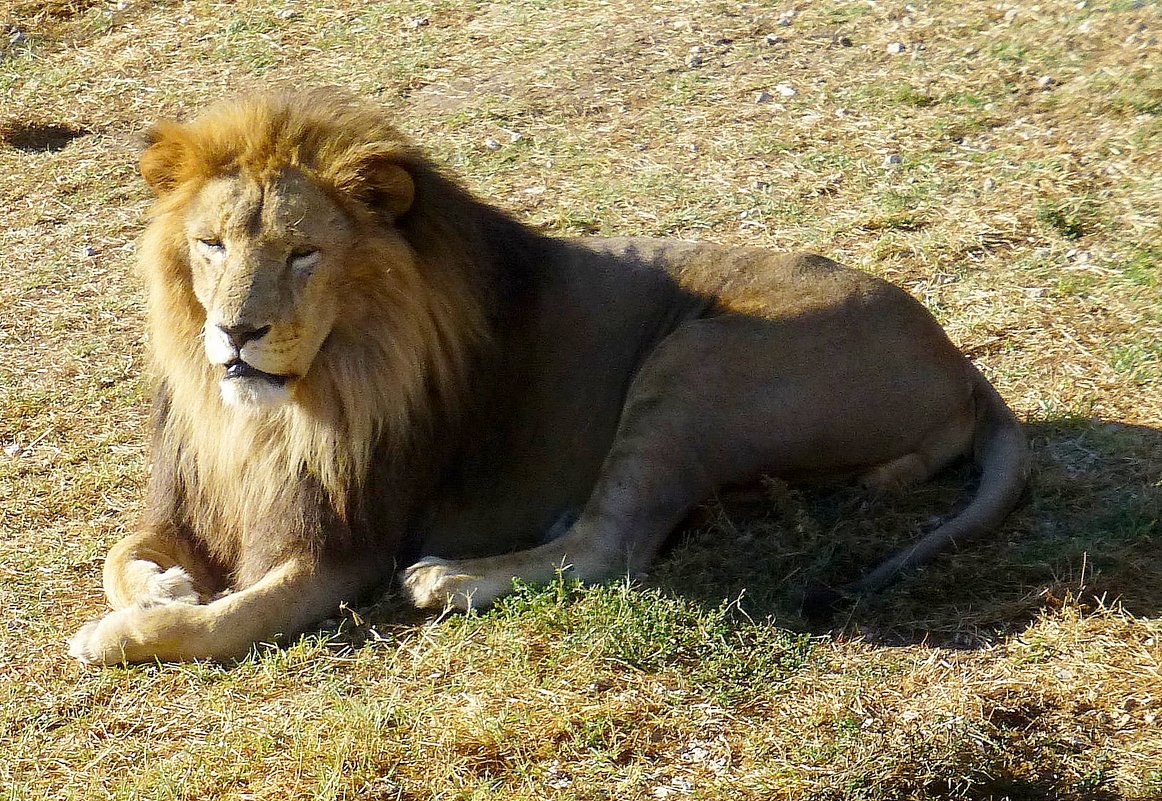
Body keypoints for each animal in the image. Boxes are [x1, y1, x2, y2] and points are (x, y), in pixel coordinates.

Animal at [65, 88, 1027, 660]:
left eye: (303, 254)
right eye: (210, 244)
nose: (236, 332)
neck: (272, 413)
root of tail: (959, 363)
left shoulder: (350, 541)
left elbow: (232, 617)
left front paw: (125, 631)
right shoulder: (197, 496)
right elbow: (120, 551)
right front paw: (162, 584)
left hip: (696, 359)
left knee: (615, 545)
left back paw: (451, 579)